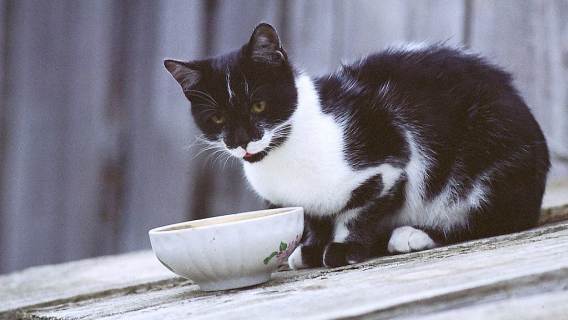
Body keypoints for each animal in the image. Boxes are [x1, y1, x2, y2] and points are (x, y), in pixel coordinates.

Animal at [164, 21, 552, 268]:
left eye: (258, 105)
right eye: (217, 119)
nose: (242, 140)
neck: (283, 154)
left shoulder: (390, 163)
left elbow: (358, 212)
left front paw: (343, 249)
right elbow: (315, 219)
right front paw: (311, 250)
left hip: (491, 160)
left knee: (491, 218)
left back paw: (411, 235)